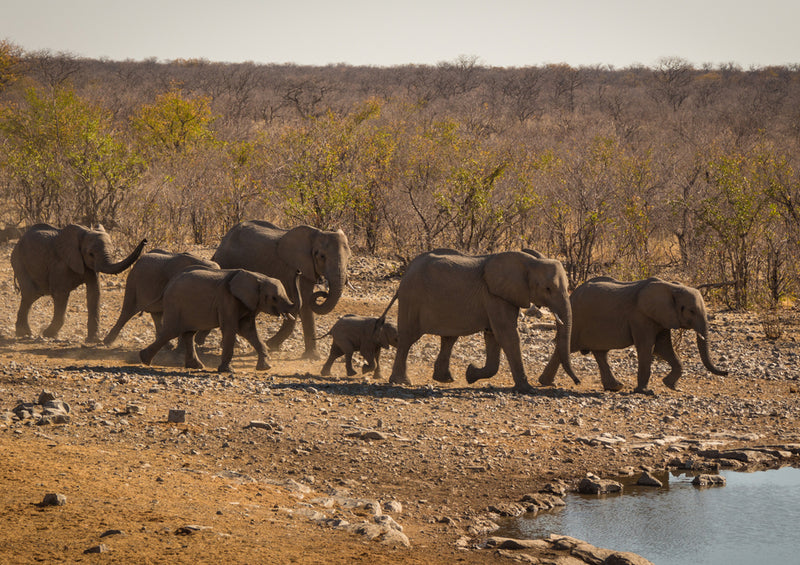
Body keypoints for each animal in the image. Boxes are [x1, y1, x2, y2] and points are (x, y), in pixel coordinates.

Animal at [10, 224, 146, 340]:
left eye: (113, 251)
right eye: (91, 254)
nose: (145, 240)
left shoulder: (90, 268)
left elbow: (94, 293)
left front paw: (93, 340)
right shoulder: (60, 264)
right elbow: (61, 294)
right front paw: (48, 334)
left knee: (31, 296)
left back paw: (24, 333)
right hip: (19, 261)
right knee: (31, 294)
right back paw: (24, 334)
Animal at [139, 266, 298, 372]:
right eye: (274, 298)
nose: (298, 272)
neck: (257, 277)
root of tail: (168, 285)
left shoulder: (248, 303)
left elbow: (248, 330)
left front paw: (265, 368)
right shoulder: (227, 299)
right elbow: (230, 329)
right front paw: (227, 370)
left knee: (188, 334)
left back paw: (195, 366)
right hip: (175, 304)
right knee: (171, 332)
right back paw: (144, 359)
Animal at [212, 220, 350, 356]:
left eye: (349, 256)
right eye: (321, 256)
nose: (324, 292)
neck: (315, 234)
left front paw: (272, 345)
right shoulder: (295, 266)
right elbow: (305, 301)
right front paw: (313, 357)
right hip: (226, 262)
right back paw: (235, 344)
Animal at [386, 247, 580, 392]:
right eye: (548, 288)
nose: (577, 382)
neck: (529, 263)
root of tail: (408, 269)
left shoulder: (502, 296)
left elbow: (493, 336)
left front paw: (470, 374)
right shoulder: (494, 295)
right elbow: (507, 335)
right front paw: (527, 389)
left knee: (449, 338)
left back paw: (445, 379)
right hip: (412, 298)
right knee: (408, 338)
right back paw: (401, 382)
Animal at [536, 276, 732, 392]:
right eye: (691, 311)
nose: (726, 372)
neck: (671, 288)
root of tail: (573, 294)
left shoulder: (661, 319)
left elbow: (663, 348)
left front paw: (670, 385)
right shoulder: (641, 317)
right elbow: (647, 347)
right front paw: (645, 392)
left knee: (600, 353)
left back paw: (615, 387)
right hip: (577, 321)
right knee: (567, 347)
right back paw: (547, 383)